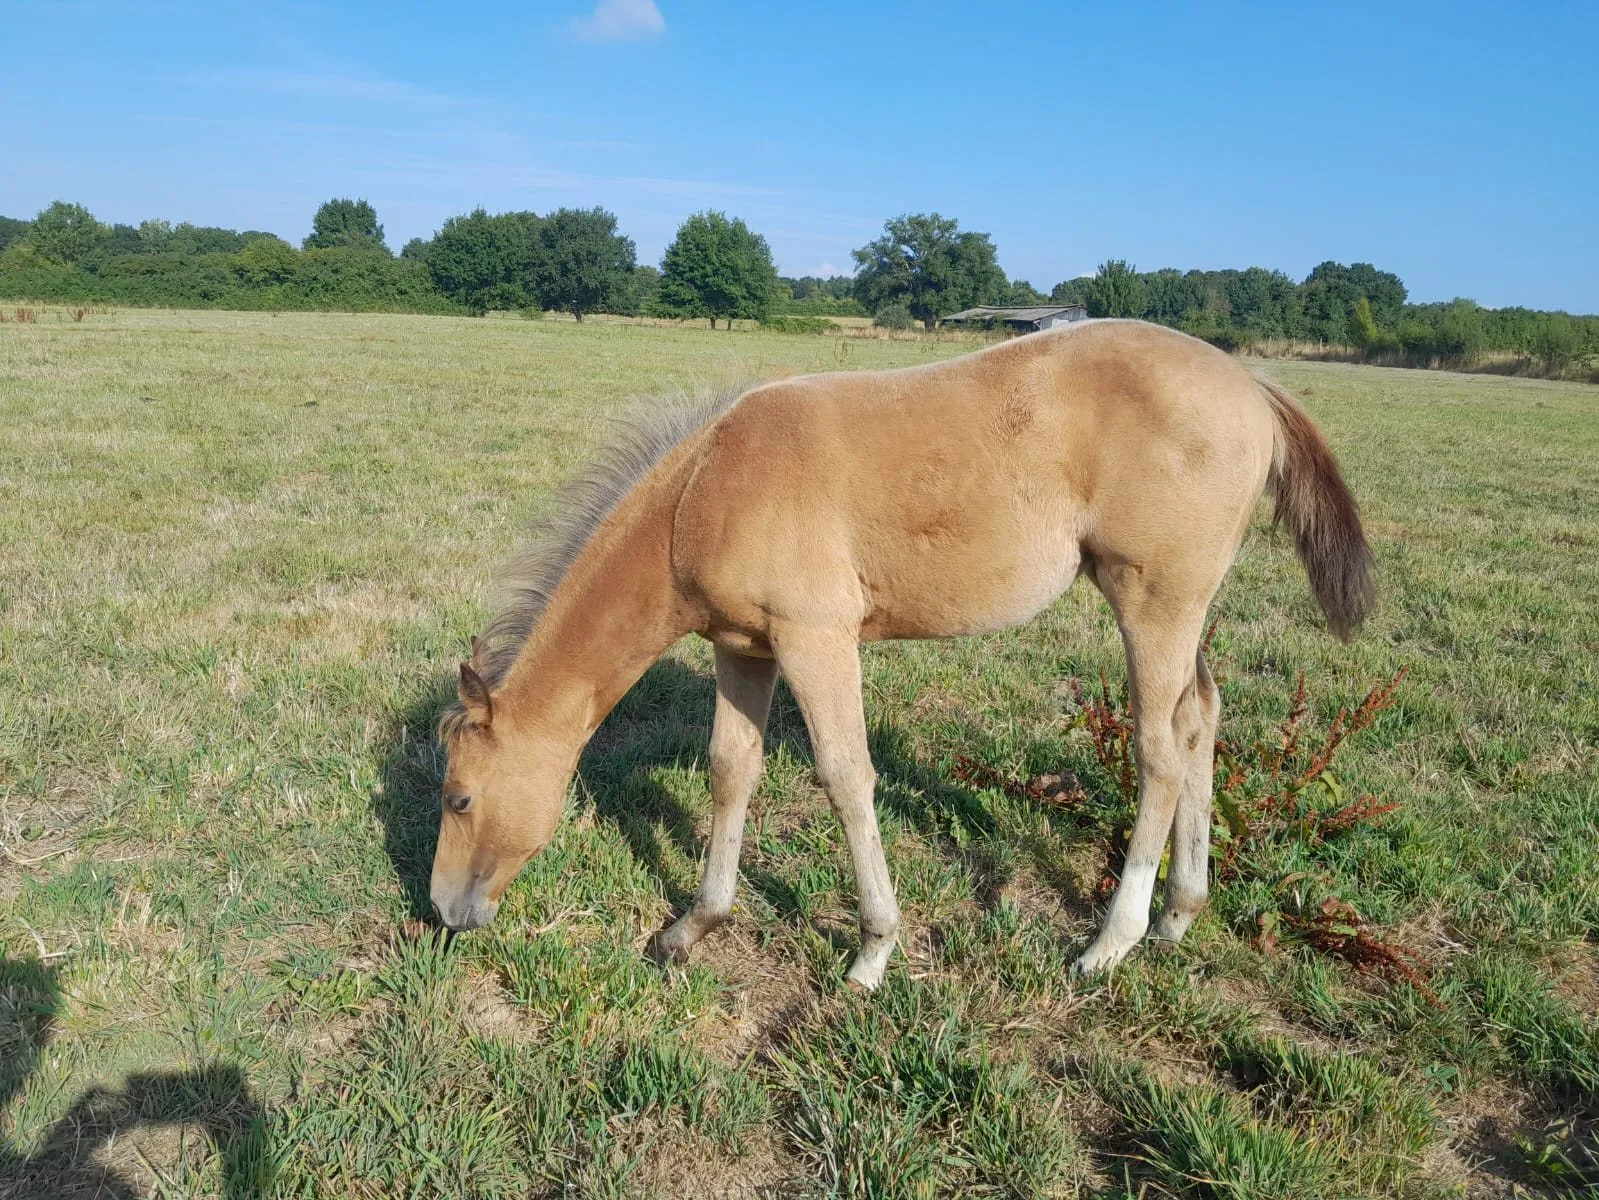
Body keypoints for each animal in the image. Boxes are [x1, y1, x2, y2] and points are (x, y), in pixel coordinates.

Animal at [429, 318, 1373, 989]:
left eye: (459, 797)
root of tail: (1252, 383)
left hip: (1151, 601)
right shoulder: (745, 648)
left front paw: (873, 951)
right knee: (1200, 718)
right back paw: (1180, 914)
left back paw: (1111, 941)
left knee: (1157, 748)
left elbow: (846, 777)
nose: (443, 910)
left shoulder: (817, 639)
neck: (703, 492)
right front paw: (692, 927)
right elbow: (730, 770)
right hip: (1185, 608)